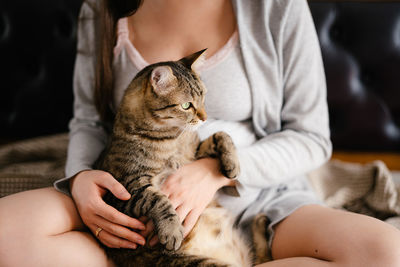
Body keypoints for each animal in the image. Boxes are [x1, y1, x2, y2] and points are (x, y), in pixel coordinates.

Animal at [95, 49, 268, 266]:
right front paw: (172, 230)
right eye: (186, 105)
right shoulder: (125, 190)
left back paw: (261, 222)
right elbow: (157, 199)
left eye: (203, 97)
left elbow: (221, 135)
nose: (205, 117)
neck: (171, 139)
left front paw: (232, 164)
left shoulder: (195, 152)